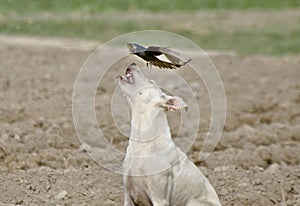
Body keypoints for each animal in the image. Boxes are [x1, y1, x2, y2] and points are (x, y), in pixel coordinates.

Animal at [118, 63, 221, 206]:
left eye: (151, 82)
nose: (133, 63)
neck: (143, 143)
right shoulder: (128, 194)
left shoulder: (159, 198)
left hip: (192, 202)